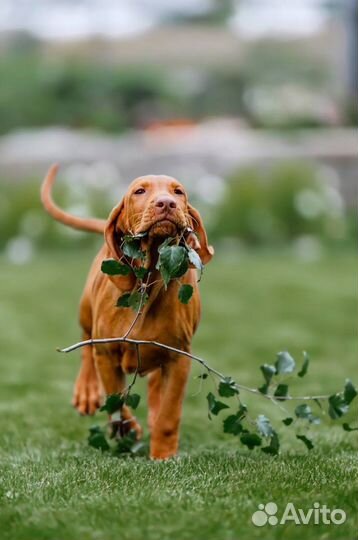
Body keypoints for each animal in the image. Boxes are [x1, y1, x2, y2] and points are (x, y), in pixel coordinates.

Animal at [42, 162, 215, 458]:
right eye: (139, 191)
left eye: (178, 192)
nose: (166, 203)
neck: (150, 279)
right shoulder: (107, 353)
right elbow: (116, 400)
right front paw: (129, 429)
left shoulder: (179, 357)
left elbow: (169, 414)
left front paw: (163, 455)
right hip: (86, 310)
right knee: (86, 343)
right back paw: (86, 391)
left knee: (156, 386)